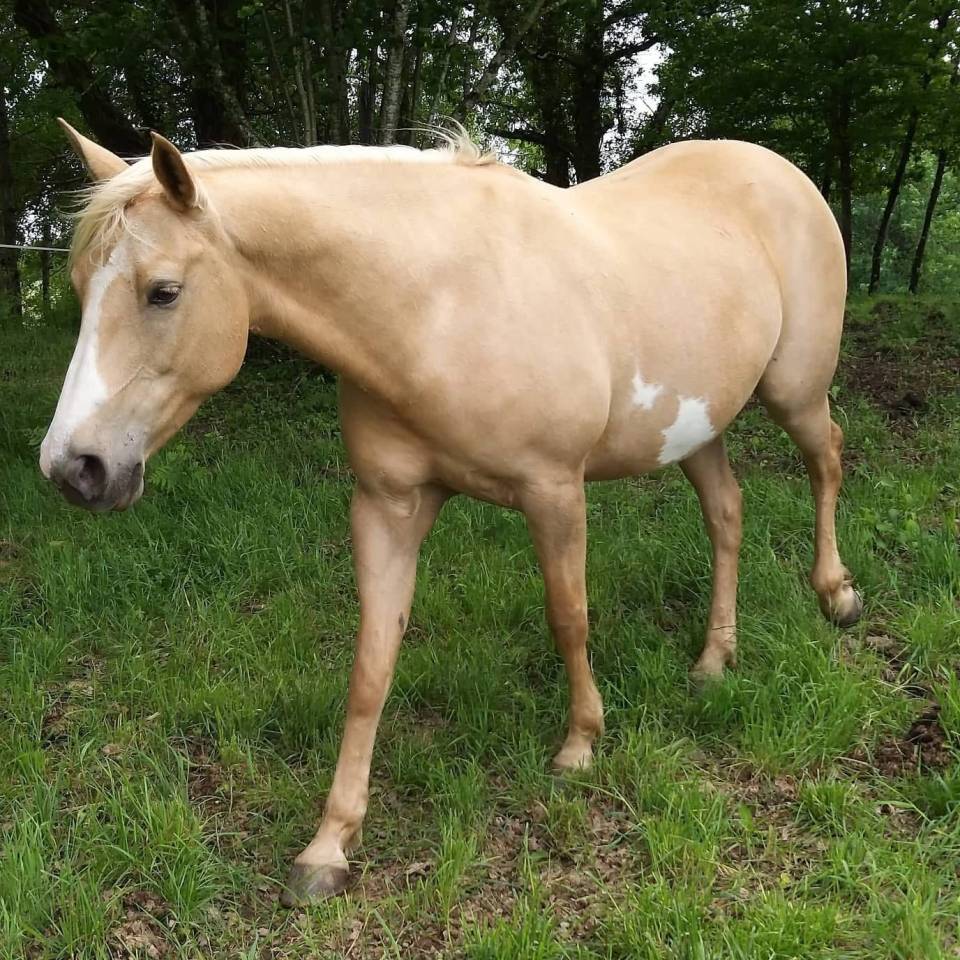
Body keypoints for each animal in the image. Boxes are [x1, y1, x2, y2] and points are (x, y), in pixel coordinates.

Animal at [41, 119, 862, 904]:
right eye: (81, 286)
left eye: (163, 291)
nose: (74, 469)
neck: (435, 305)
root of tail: (778, 171)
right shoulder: (388, 505)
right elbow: (373, 662)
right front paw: (330, 845)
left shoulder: (553, 489)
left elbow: (569, 616)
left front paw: (580, 744)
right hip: (697, 427)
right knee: (726, 514)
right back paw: (714, 661)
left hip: (793, 391)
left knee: (825, 460)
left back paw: (837, 595)